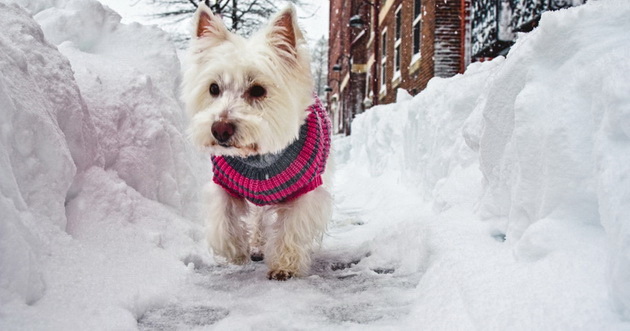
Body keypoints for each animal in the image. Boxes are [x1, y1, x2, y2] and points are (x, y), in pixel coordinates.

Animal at [180, 3, 334, 282]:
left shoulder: (306, 189)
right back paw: (256, 245)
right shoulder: (223, 183)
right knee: (259, 219)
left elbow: (292, 226)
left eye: (258, 90)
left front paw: (285, 265)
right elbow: (222, 220)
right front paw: (235, 251)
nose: (220, 129)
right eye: (213, 88)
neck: (260, 158)